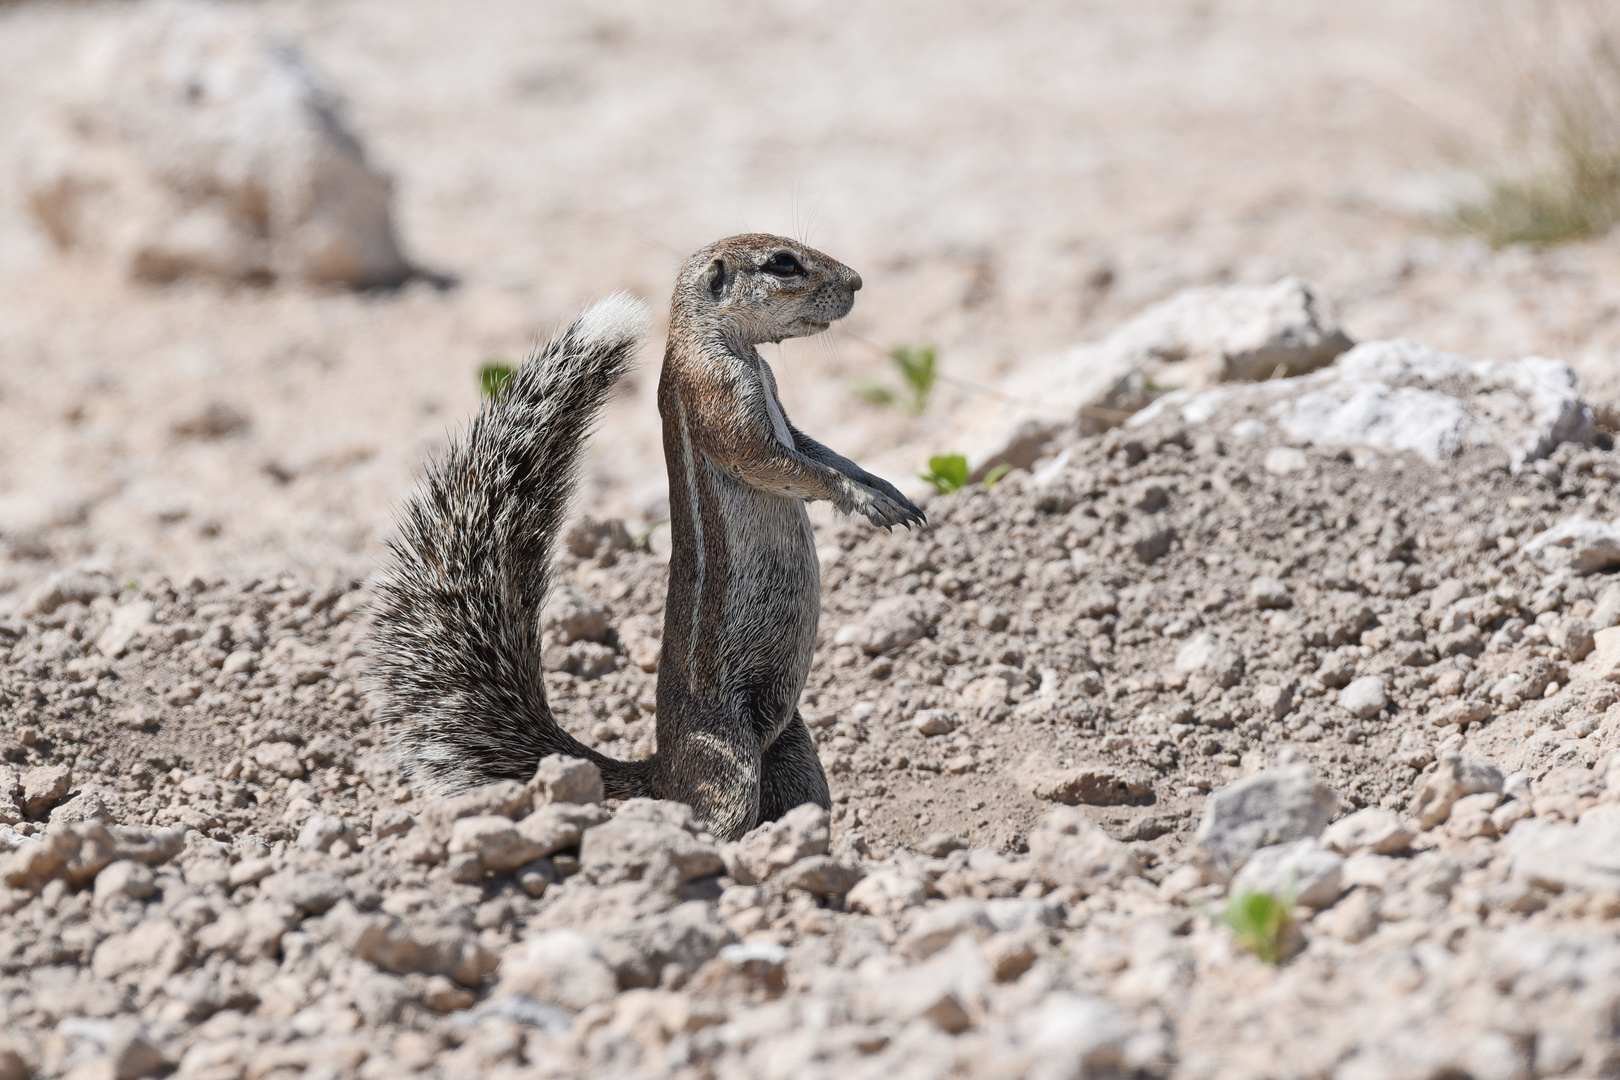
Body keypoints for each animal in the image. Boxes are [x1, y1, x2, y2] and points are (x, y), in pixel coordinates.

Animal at [370, 236, 926, 841]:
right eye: (782, 263)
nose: (857, 282)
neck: (731, 345)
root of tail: (661, 770)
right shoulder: (715, 391)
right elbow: (775, 461)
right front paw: (862, 498)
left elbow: (815, 448)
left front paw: (885, 488)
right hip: (729, 756)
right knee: (717, 818)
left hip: (793, 748)